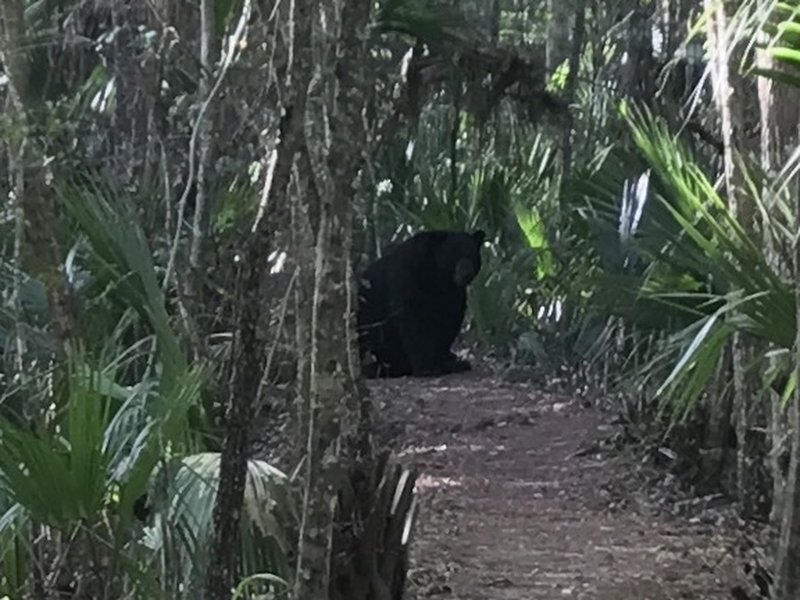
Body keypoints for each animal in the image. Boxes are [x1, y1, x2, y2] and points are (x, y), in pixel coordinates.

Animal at [358, 227, 484, 378]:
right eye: (453, 253)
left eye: (472, 254)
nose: (466, 272)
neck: (437, 278)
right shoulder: (407, 276)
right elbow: (413, 320)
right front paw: (427, 368)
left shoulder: (453, 294)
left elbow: (448, 320)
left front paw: (446, 361)